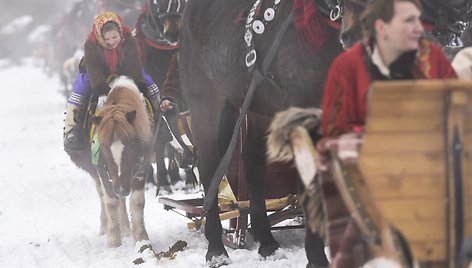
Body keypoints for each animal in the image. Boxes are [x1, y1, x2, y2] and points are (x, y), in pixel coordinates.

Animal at [179, 0, 344, 264]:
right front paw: (317, 256)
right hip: (207, 104)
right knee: (210, 169)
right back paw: (216, 248)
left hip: (260, 112)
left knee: (253, 166)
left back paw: (266, 242)